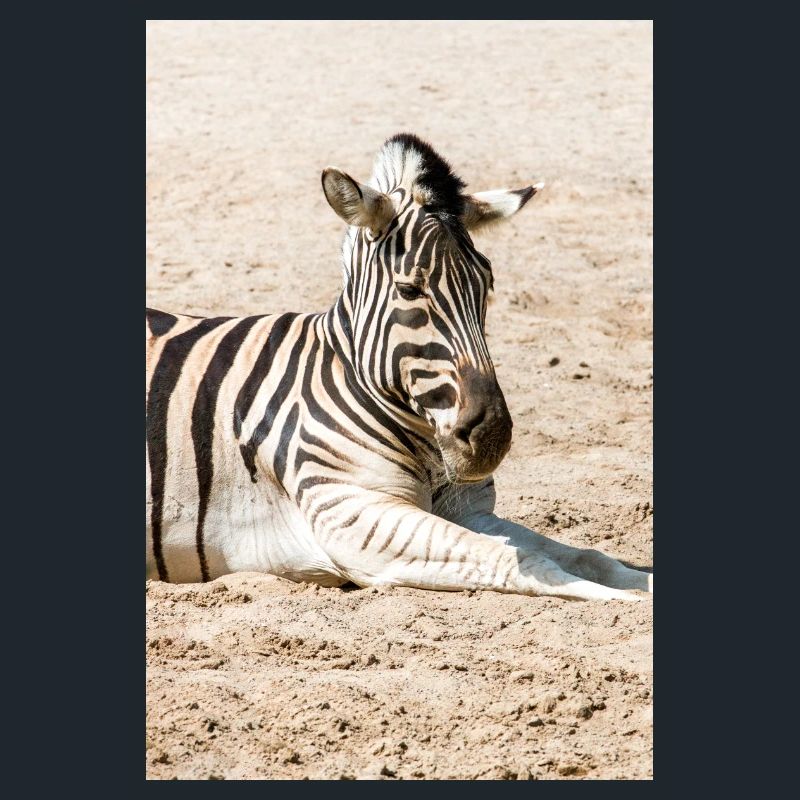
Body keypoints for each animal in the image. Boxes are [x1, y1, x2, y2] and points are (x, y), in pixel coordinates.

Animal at [146, 133, 653, 601]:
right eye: (410, 290)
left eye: (487, 285)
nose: (492, 437)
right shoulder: (353, 515)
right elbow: (522, 560)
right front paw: (623, 601)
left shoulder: (470, 510)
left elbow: (587, 555)